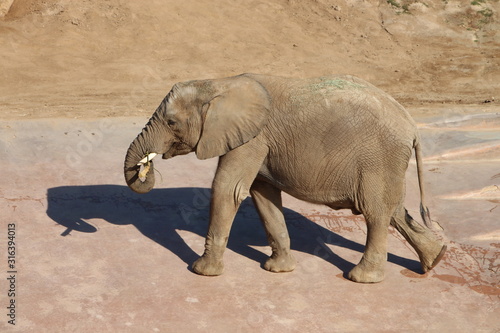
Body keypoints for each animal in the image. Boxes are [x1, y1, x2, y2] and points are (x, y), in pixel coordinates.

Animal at [124, 74, 446, 282]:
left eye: (171, 122)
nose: (144, 166)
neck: (219, 83)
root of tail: (413, 126)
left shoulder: (251, 139)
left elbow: (228, 190)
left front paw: (201, 271)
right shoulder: (259, 142)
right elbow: (262, 195)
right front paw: (278, 270)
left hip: (378, 158)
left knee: (376, 212)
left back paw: (361, 277)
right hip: (386, 163)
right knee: (394, 210)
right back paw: (436, 259)